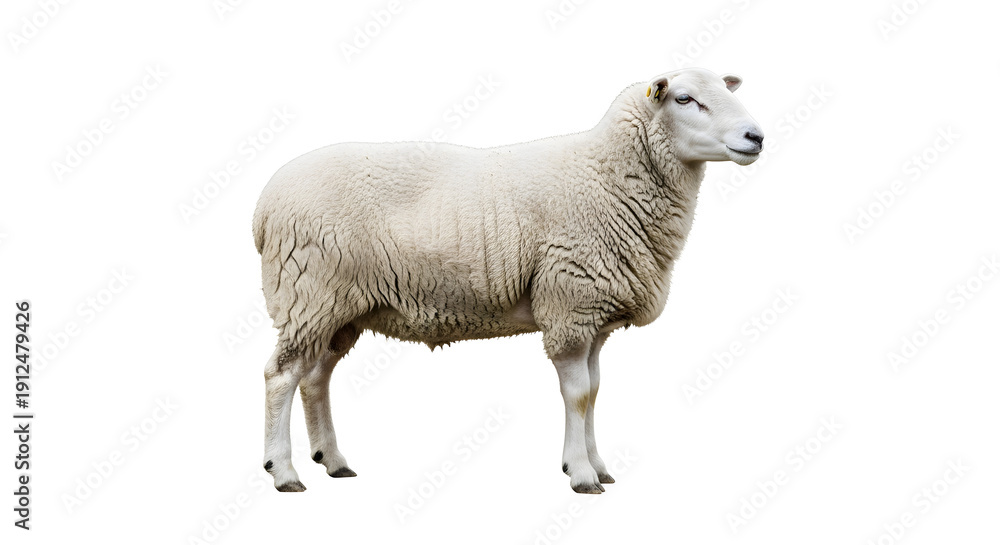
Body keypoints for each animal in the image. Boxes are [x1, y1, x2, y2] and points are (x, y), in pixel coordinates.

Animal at [252, 68, 763, 494]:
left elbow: (596, 391)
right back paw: (284, 471)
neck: (608, 176)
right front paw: (581, 474)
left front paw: (598, 466)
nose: (756, 136)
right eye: (685, 98)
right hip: (309, 293)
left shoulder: (593, 316)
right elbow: (578, 395)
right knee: (281, 376)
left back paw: (333, 460)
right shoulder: (568, 305)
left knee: (315, 377)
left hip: (339, 306)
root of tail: (265, 205)